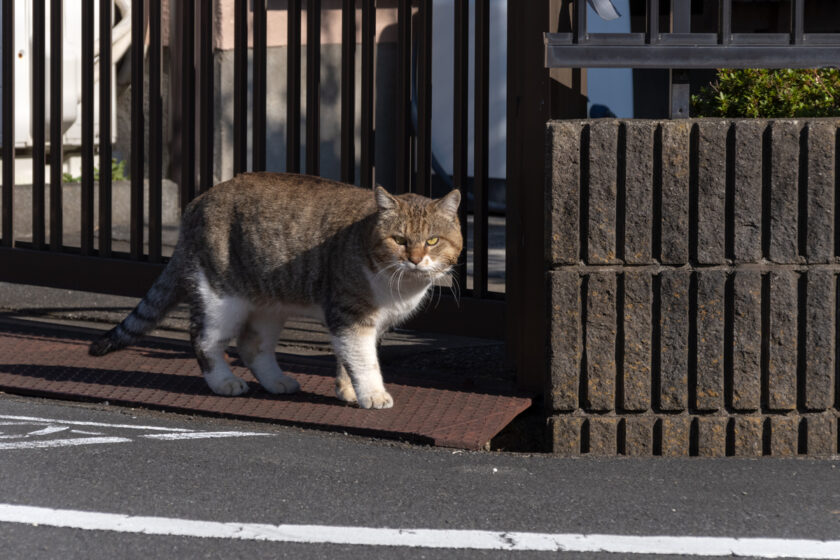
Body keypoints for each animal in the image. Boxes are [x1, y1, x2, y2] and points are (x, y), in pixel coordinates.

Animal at [88, 173, 462, 410]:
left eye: (432, 240)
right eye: (399, 240)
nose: (415, 259)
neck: (401, 284)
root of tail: (198, 200)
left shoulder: (366, 325)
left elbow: (349, 358)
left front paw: (348, 391)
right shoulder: (350, 315)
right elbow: (363, 359)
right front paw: (372, 395)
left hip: (269, 304)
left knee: (252, 345)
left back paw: (276, 382)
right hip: (221, 297)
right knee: (205, 339)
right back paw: (224, 383)